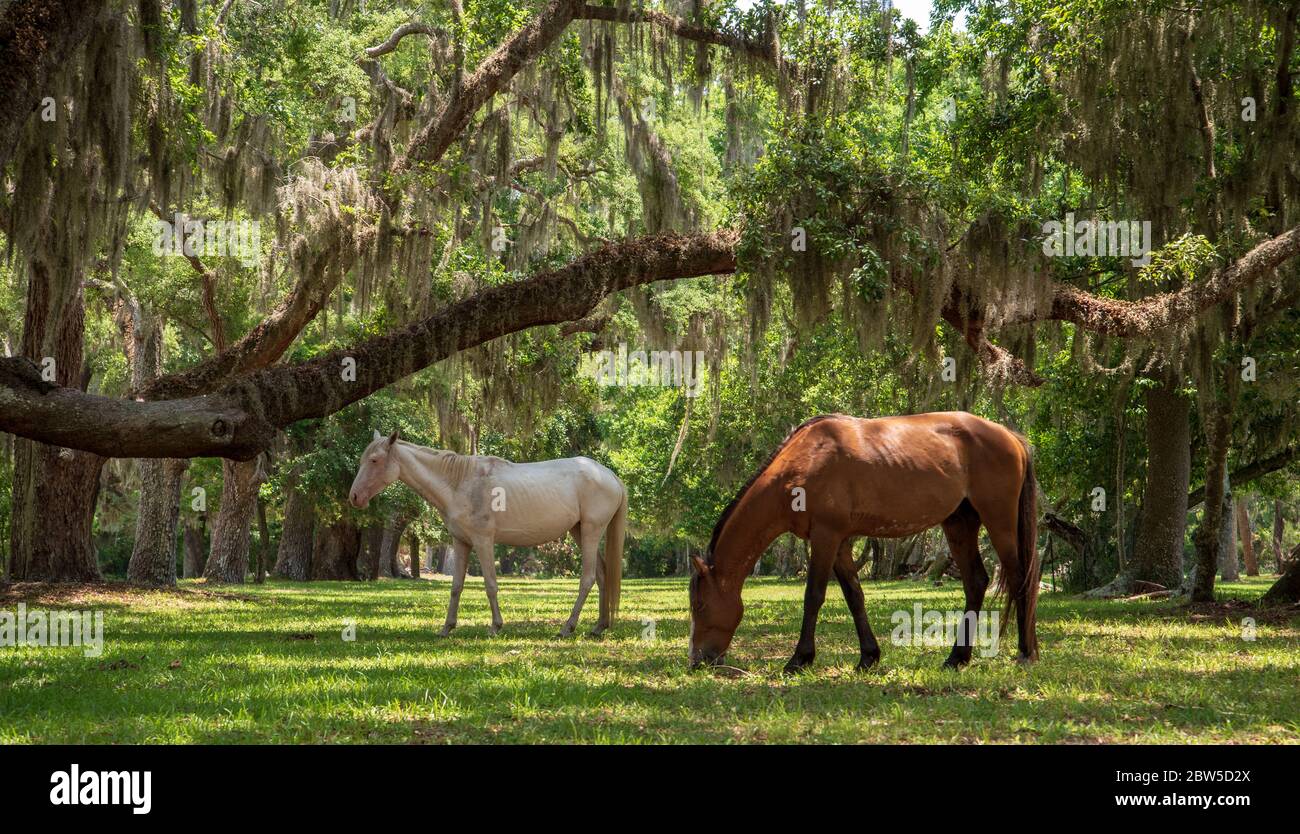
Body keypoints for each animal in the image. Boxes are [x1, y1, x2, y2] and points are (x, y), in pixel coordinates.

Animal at [351, 431, 624, 633]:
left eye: (374, 460)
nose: (354, 497)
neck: (459, 482)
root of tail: (611, 476)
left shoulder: (483, 541)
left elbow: (490, 584)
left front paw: (496, 626)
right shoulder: (461, 542)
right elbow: (456, 585)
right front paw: (447, 627)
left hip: (590, 532)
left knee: (588, 578)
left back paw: (568, 627)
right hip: (579, 532)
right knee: (602, 575)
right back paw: (599, 627)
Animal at [686, 413, 1040, 670]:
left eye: (699, 605)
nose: (698, 661)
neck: (804, 462)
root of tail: (1010, 436)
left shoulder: (826, 536)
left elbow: (813, 596)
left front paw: (799, 659)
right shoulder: (839, 542)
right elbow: (854, 596)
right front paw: (868, 657)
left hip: (999, 521)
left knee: (1019, 578)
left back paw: (1025, 653)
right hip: (960, 524)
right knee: (976, 582)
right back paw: (957, 658)